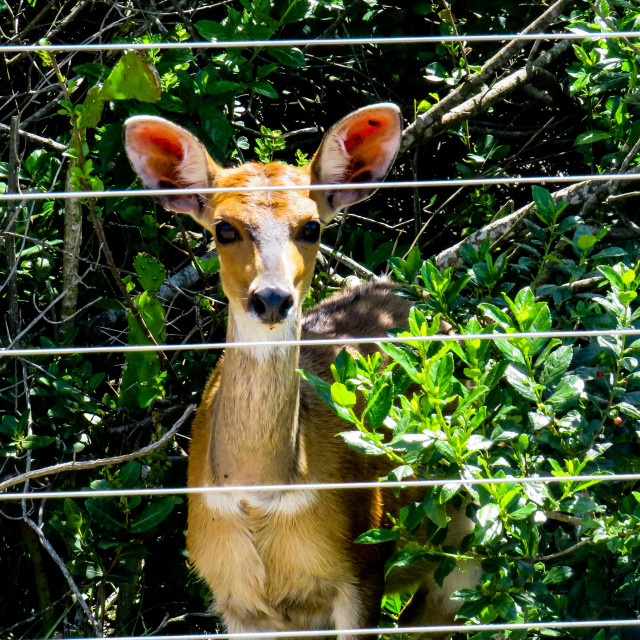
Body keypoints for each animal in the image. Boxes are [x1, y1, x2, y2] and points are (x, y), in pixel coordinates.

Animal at [122, 106, 478, 640]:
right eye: (224, 228)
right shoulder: (235, 598)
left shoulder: (360, 569)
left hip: (466, 542)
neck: (261, 491)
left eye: (311, 226)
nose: (271, 298)